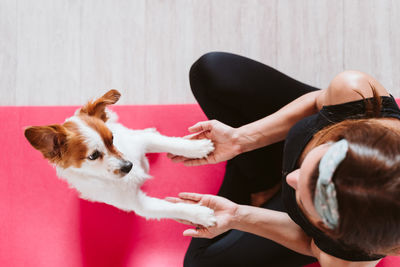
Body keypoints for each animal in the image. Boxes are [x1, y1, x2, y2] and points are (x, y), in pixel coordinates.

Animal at [24, 90, 219, 228]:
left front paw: (197, 147)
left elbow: (169, 142)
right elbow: (171, 207)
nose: (128, 166)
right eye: (93, 156)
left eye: (112, 139)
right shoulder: (140, 205)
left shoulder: (141, 142)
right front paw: (200, 214)